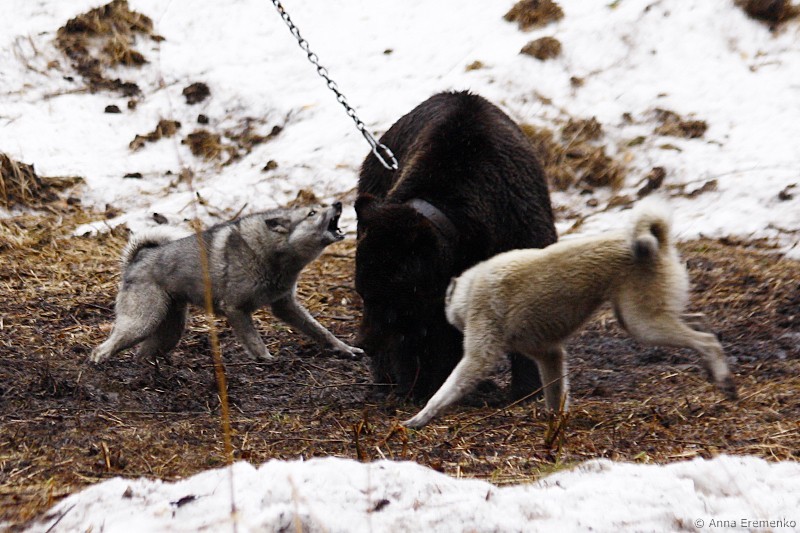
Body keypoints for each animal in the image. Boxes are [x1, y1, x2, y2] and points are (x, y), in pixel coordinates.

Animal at [90, 202, 363, 364]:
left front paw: (345, 348)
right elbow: (254, 341)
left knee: (143, 353)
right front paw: (267, 360)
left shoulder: (285, 306)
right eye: (312, 213)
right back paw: (99, 363)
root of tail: (137, 260)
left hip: (170, 329)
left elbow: (321, 330)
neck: (270, 252)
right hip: (142, 322)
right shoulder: (235, 309)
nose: (338, 203)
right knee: (104, 348)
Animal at [355, 90, 557, 402]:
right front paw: (414, 385)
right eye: (363, 292)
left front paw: (527, 387)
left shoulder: (519, 227)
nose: (364, 343)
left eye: (390, 297)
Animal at [404, 198, 738, 428]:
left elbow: (448, 388)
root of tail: (660, 242)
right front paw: (556, 425)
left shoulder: (480, 353)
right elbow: (555, 395)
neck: (470, 288)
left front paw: (420, 418)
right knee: (700, 324)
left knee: (705, 340)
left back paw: (723, 379)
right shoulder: (549, 354)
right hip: (645, 316)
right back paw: (715, 370)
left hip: (643, 324)